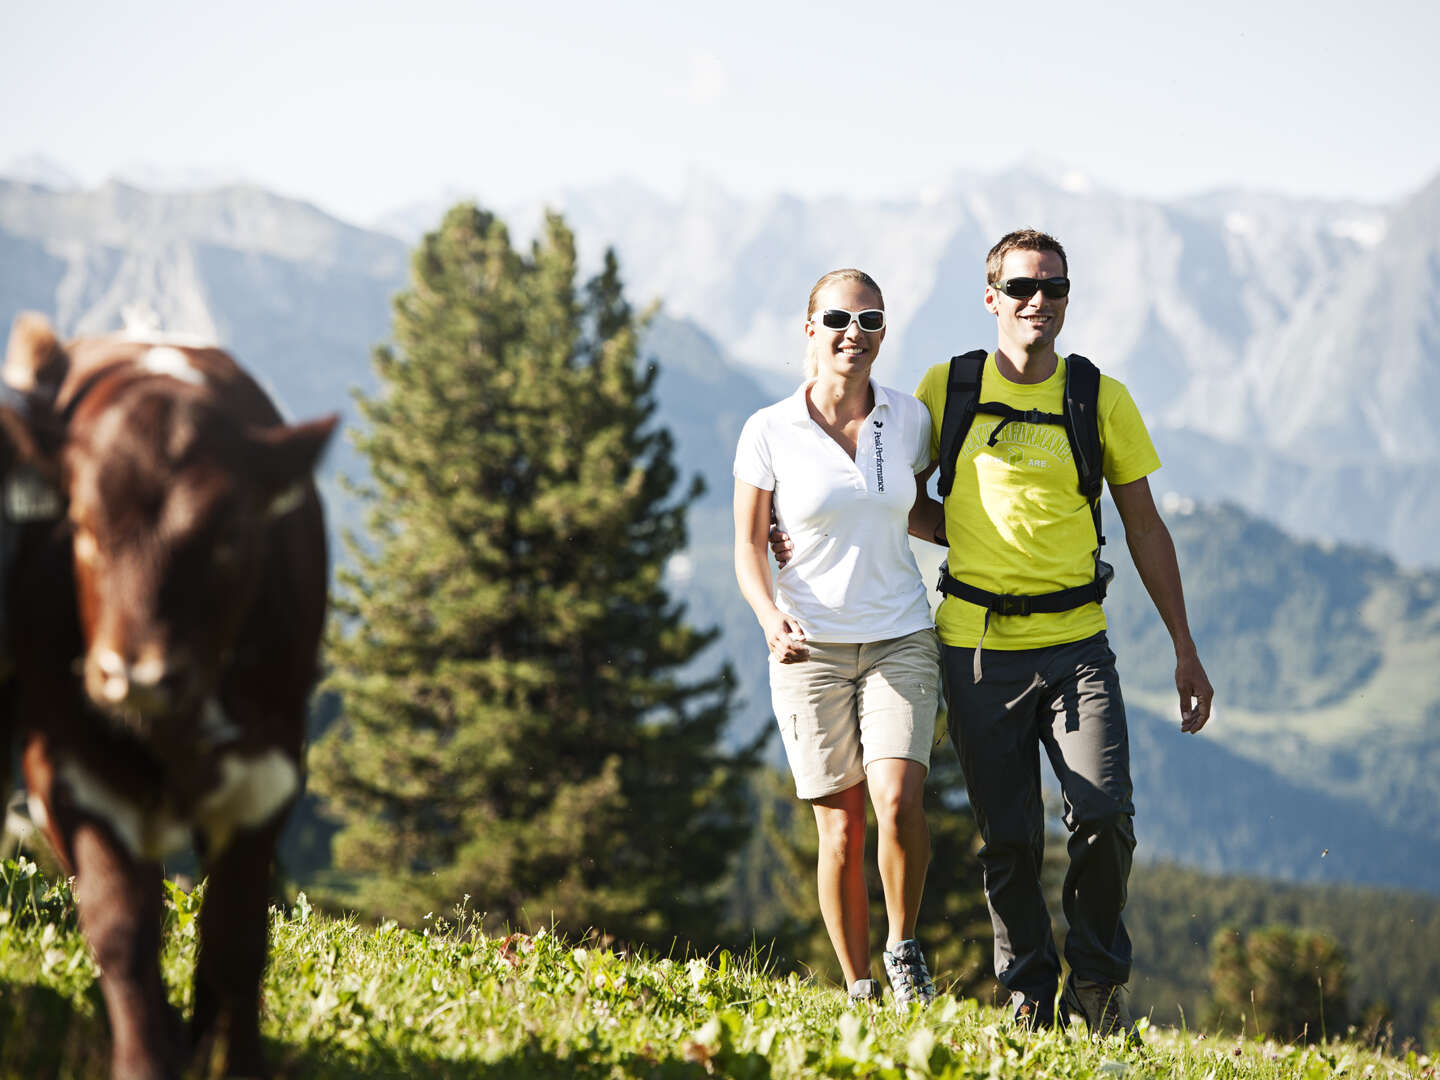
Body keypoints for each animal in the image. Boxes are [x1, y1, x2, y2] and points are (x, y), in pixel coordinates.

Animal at [4, 315, 334, 1080]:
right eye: (82, 526)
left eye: (232, 534)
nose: (138, 675)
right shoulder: (67, 769)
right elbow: (121, 924)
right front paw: (144, 1058)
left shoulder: (271, 772)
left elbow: (237, 938)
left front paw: (231, 1059)